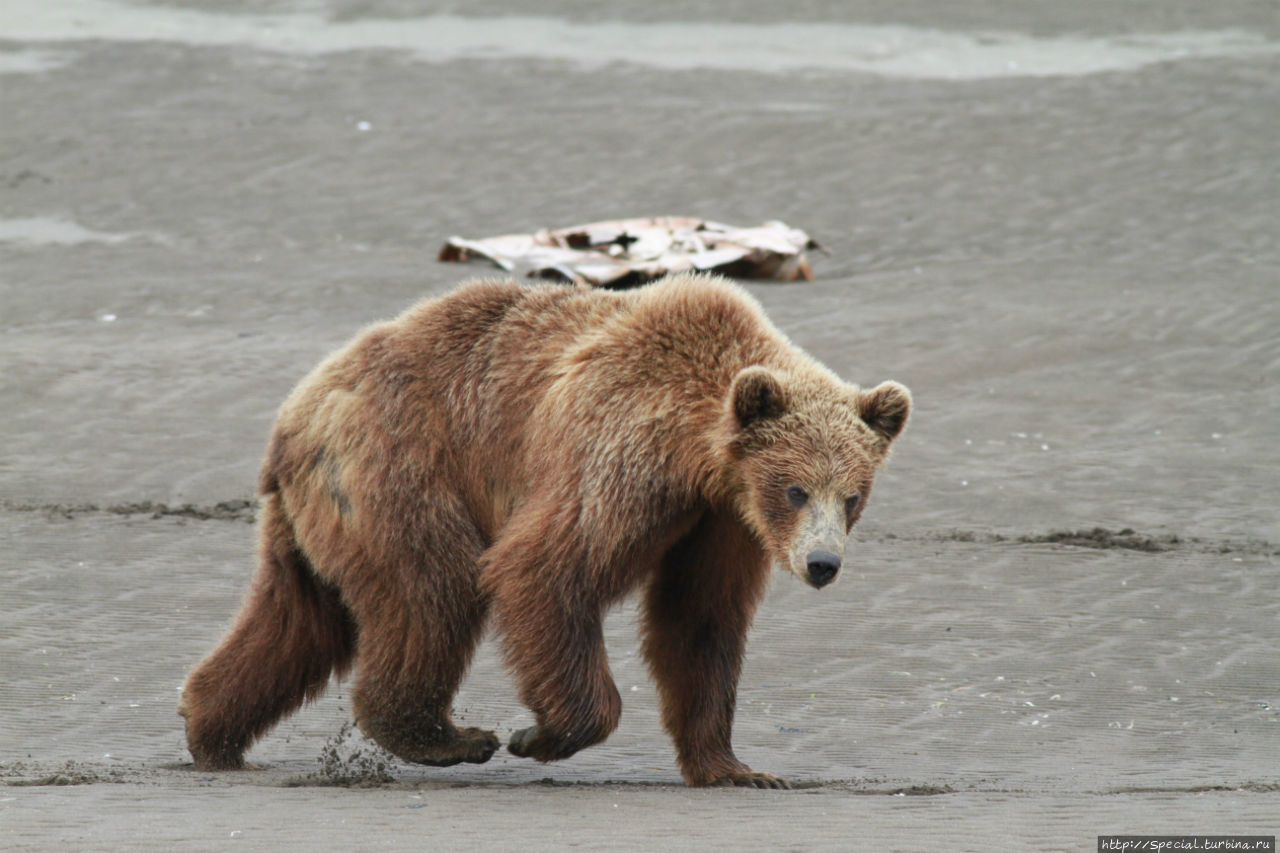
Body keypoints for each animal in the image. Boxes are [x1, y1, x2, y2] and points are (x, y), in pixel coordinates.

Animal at [180, 270, 911, 783]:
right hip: (404, 467)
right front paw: (539, 735)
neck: (699, 454)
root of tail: (295, 412)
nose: (822, 564)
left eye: (853, 497)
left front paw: (737, 768)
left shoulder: (719, 521)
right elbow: (547, 565)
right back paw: (448, 736)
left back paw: (208, 728)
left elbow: (700, 621)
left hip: (317, 514)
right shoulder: (620, 450)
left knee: (295, 618)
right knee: (434, 591)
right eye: (796, 488)